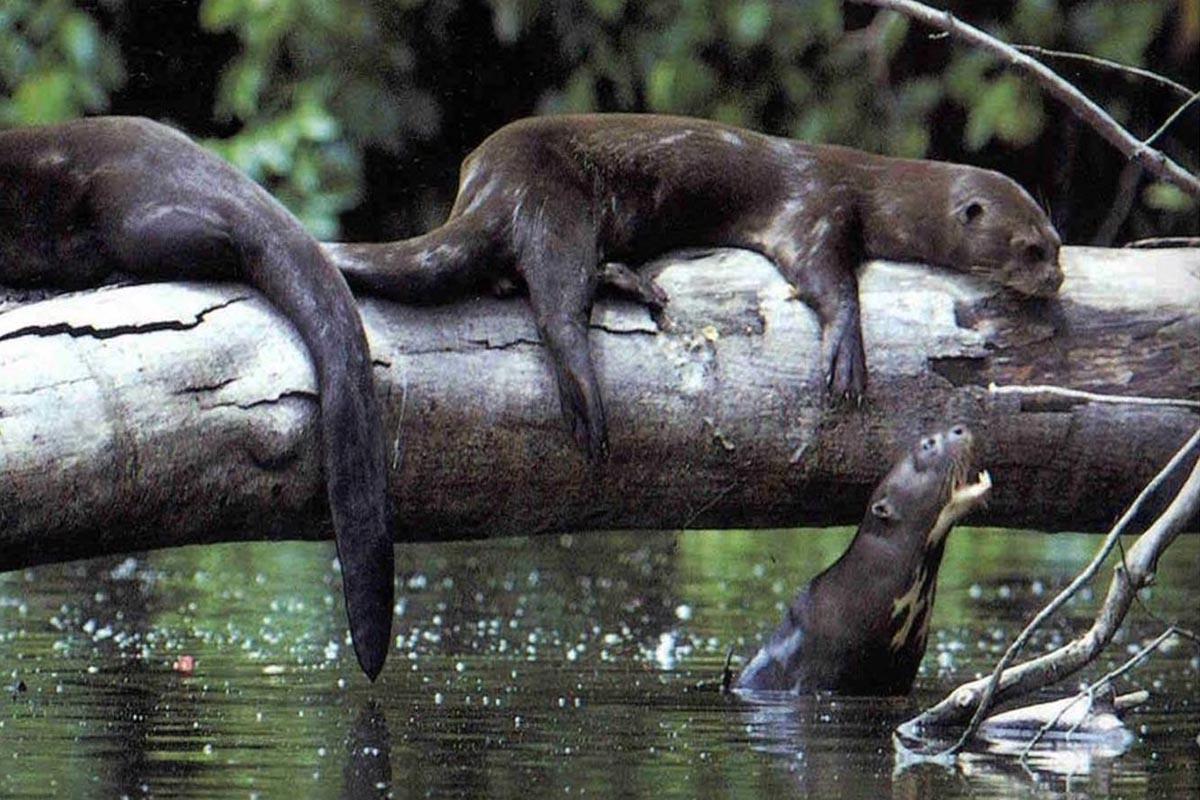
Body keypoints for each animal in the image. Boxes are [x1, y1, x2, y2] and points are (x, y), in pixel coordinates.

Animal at [324, 115, 1065, 460]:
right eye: (1029, 247)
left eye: (1056, 241)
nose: (1057, 278)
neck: (878, 189)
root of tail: (485, 183)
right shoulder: (814, 208)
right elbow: (824, 278)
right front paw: (846, 354)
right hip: (558, 208)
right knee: (557, 304)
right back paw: (589, 395)